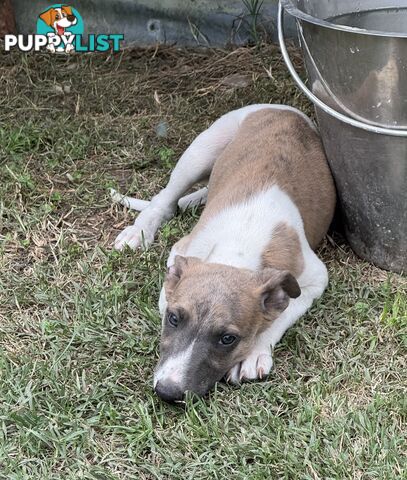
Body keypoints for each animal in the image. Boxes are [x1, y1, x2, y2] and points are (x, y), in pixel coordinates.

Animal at [113, 104, 336, 402]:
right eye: (173, 318)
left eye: (227, 339)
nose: (168, 392)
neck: (239, 246)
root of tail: (278, 108)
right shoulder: (181, 252)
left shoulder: (313, 280)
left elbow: (280, 317)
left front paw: (253, 354)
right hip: (199, 153)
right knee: (165, 199)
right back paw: (138, 231)